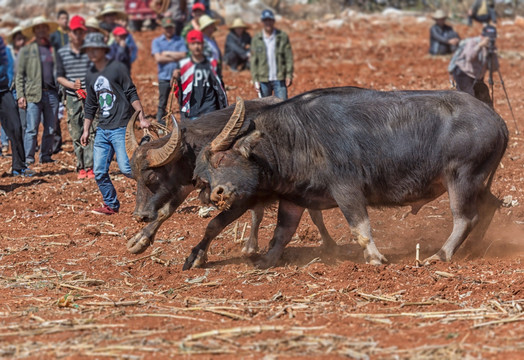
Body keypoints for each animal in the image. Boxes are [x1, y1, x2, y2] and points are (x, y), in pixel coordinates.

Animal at [124, 97, 336, 266]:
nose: (139, 215)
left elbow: (214, 224)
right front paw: (140, 240)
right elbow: (165, 210)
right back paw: (251, 247)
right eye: (135, 177)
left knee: (312, 214)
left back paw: (329, 244)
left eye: (152, 177)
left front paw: (196, 256)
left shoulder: (237, 199)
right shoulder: (186, 183)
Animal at [192, 86, 508, 268]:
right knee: (489, 206)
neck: (296, 137)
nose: (217, 194)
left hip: (461, 178)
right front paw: (266, 260)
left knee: (465, 217)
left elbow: (360, 228)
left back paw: (441, 254)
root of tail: (496, 120)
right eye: (203, 174)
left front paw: (375, 258)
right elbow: (282, 232)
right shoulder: (293, 198)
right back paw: (474, 247)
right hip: (477, 181)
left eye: (221, 158)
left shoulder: (347, 190)